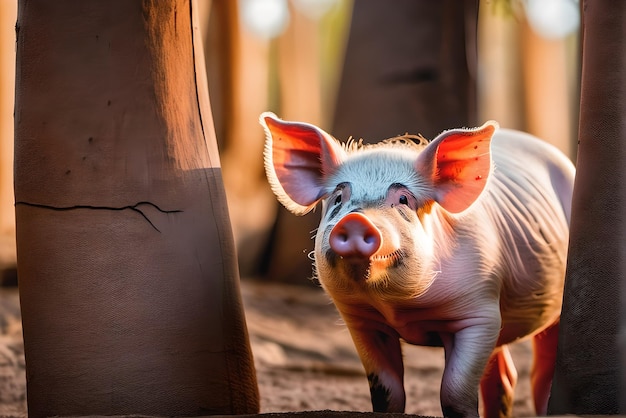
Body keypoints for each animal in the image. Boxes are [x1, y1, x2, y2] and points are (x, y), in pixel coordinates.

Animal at [258, 112, 572, 418]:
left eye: (403, 199)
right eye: (338, 198)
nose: (356, 220)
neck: (398, 309)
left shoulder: (480, 313)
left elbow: (454, 392)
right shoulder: (362, 321)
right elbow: (386, 393)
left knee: (540, 372)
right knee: (505, 377)